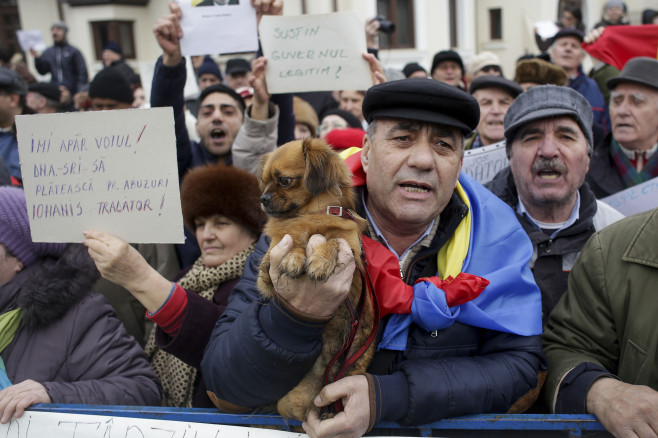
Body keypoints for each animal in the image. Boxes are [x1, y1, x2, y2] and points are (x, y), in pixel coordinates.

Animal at [256, 139, 374, 420]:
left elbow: (332, 241)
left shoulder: (352, 254)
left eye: (284, 180)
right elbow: (292, 247)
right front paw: (295, 258)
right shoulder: (267, 276)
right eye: (263, 183)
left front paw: (320, 259)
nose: (263, 199)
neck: (308, 215)